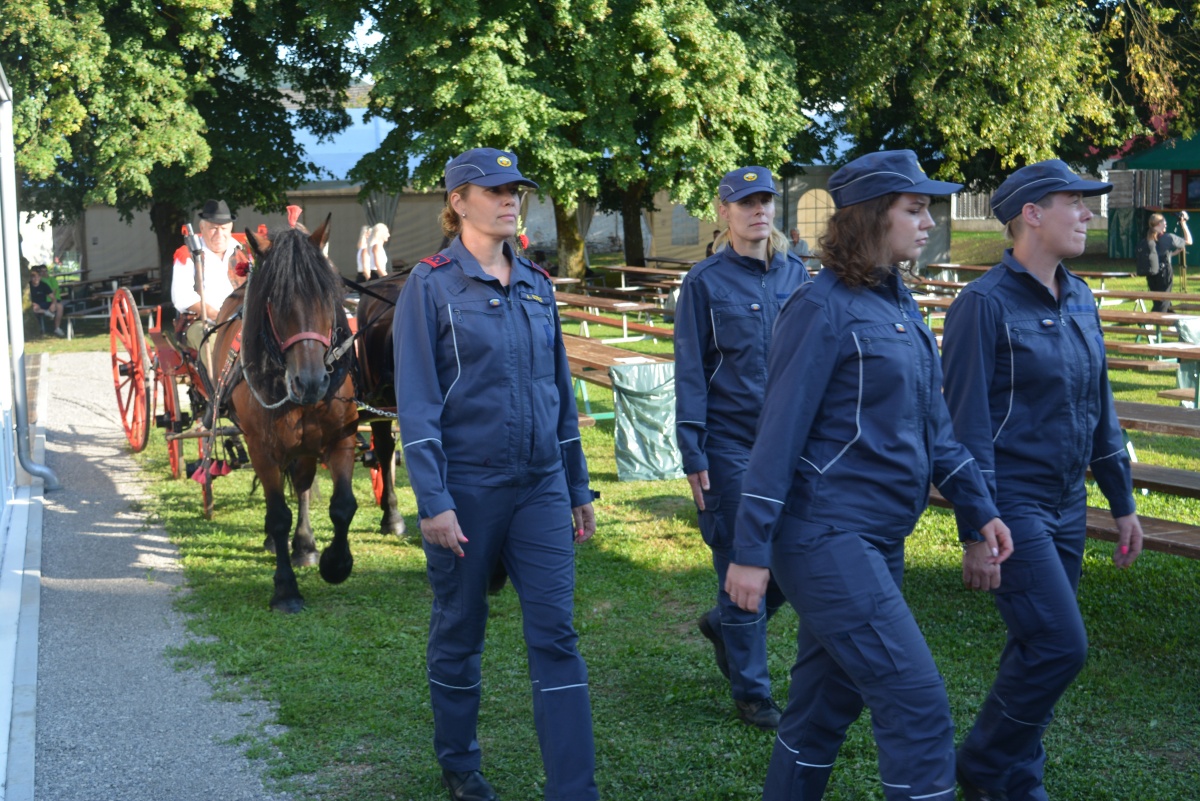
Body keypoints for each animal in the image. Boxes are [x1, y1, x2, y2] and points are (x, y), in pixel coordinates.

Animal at [211, 219, 360, 613]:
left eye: (327, 297)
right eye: (274, 304)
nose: (310, 382)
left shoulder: (341, 439)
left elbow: (343, 505)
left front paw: (335, 563)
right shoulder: (262, 449)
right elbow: (278, 515)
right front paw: (285, 589)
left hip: (306, 447)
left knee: (304, 484)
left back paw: (305, 546)